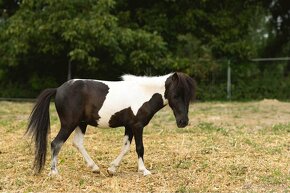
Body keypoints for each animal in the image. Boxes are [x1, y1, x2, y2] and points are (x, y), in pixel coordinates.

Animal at [26, 71, 195, 176]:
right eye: (175, 95)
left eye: (188, 96)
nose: (183, 122)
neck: (143, 93)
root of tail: (58, 89)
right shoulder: (137, 126)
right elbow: (140, 148)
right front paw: (144, 170)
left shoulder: (129, 126)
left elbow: (125, 148)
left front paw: (112, 169)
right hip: (69, 124)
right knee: (56, 143)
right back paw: (54, 172)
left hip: (81, 123)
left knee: (77, 143)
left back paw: (94, 168)